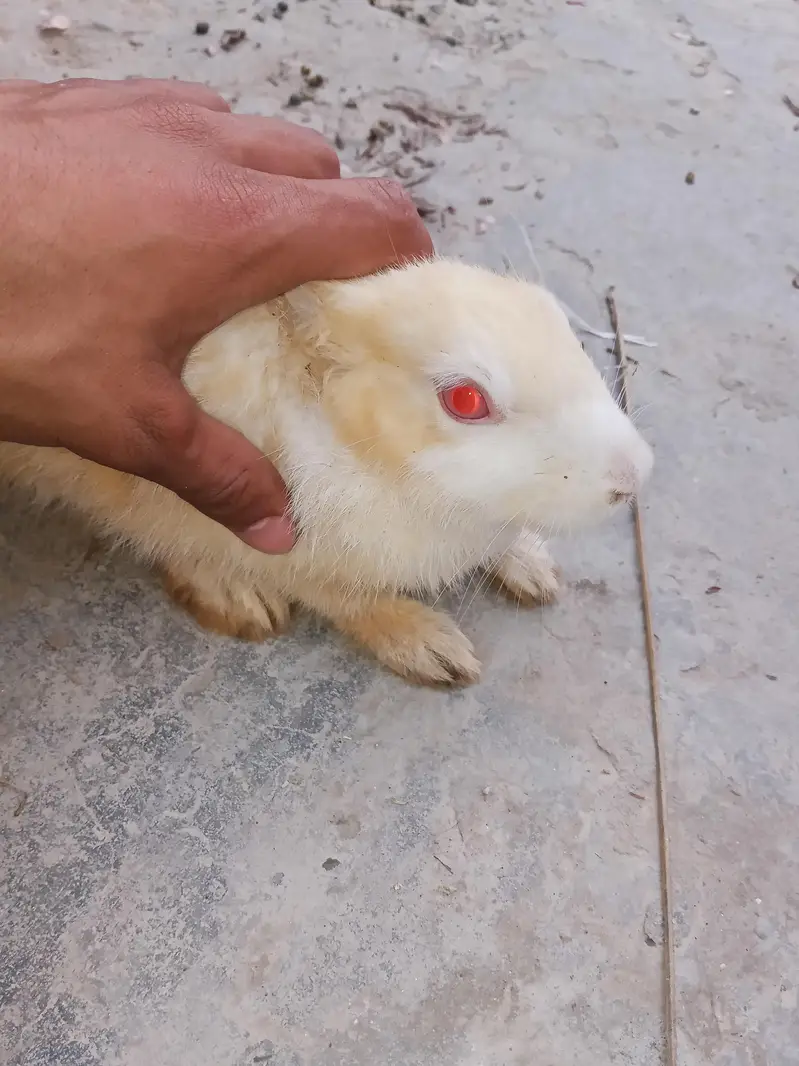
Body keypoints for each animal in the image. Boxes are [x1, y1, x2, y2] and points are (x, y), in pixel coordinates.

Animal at [0, 257, 653, 686]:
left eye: (560, 325)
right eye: (466, 400)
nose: (633, 477)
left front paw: (533, 568)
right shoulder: (277, 544)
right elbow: (346, 599)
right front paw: (434, 649)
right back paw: (237, 599)